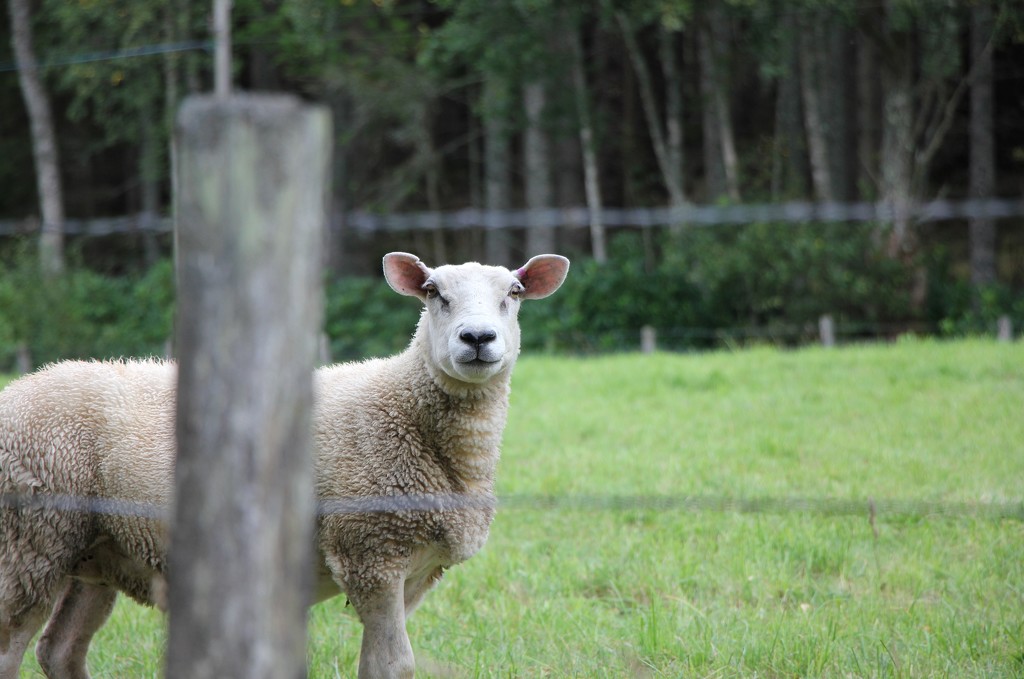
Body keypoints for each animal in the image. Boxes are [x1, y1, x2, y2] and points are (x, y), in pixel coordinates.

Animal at [0, 251, 569, 675]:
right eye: (433, 292)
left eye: (513, 293)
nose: (477, 339)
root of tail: (20, 388)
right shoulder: (371, 553)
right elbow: (395, 664)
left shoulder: (415, 573)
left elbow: (377, 663)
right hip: (31, 541)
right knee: (12, 648)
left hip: (92, 552)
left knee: (60, 649)